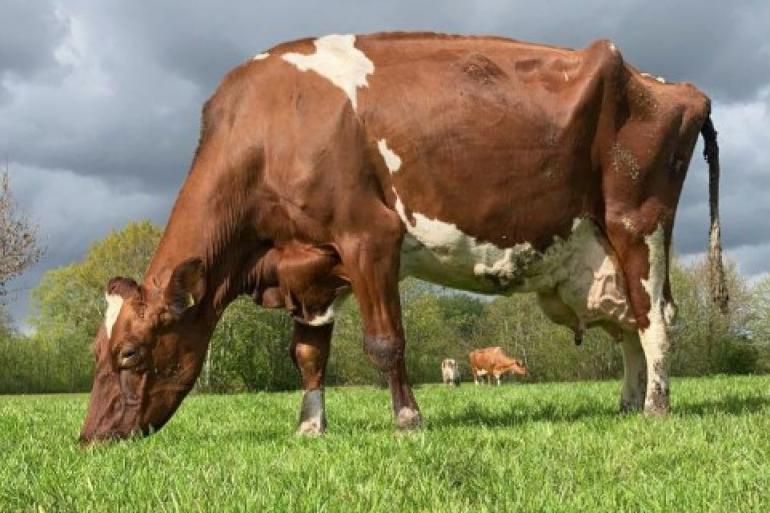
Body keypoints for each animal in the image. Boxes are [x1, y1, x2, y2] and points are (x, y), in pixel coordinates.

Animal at [79, 32, 728, 440]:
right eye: (97, 352)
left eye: (131, 353)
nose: (91, 437)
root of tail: (670, 84)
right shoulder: (310, 267)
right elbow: (308, 354)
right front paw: (310, 426)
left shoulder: (369, 238)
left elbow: (385, 343)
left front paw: (408, 421)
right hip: (600, 252)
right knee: (629, 323)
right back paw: (627, 403)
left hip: (637, 223)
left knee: (654, 319)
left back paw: (655, 409)